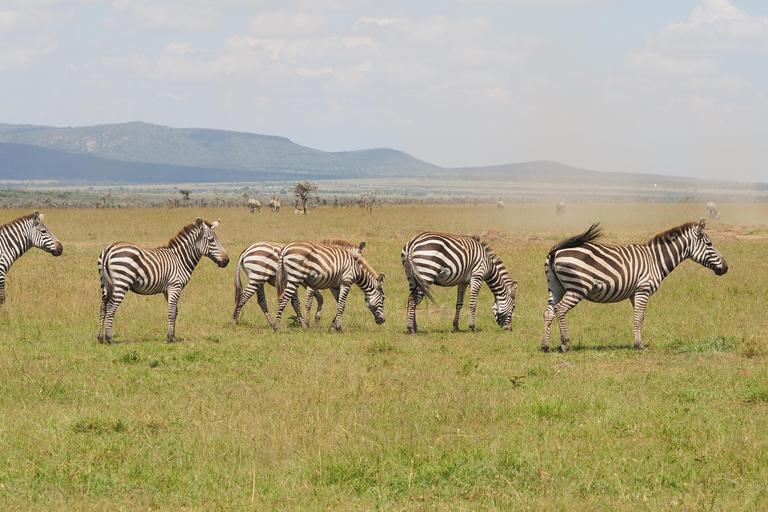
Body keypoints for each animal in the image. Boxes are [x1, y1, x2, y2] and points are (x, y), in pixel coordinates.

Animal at [97, 217, 228, 344]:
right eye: (211, 240)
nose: (227, 260)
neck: (180, 259)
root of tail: (108, 250)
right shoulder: (175, 286)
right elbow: (172, 311)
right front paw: (171, 337)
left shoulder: (168, 289)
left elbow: (175, 311)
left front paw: (172, 335)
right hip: (122, 282)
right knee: (111, 307)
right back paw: (109, 338)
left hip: (104, 283)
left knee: (103, 307)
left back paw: (100, 338)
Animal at [231, 238, 366, 326]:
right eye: (358, 260)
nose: (360, 272)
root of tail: (246, 249)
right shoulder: (310, 283)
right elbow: (310, 301)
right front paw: (307, 322)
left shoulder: (308, 283)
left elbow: (319, 298)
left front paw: (316, 320)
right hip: (257, 276)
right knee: (243, 297)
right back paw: (234, 321)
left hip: (259, 278)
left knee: (261, 301)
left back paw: (272, 323)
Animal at [544, 218, 728, 354]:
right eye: (710, 244)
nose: (725, 268)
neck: (655, 260)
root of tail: (555, 251)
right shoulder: (643, 290)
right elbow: (638, 317)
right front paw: (640, 345)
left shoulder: (635, 293)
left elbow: (640, 317)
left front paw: (637, 342)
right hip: (578, 287)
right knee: (560, 309)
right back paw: (564, 344)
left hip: (556, 287)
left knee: (548, 311)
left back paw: (545, 346)